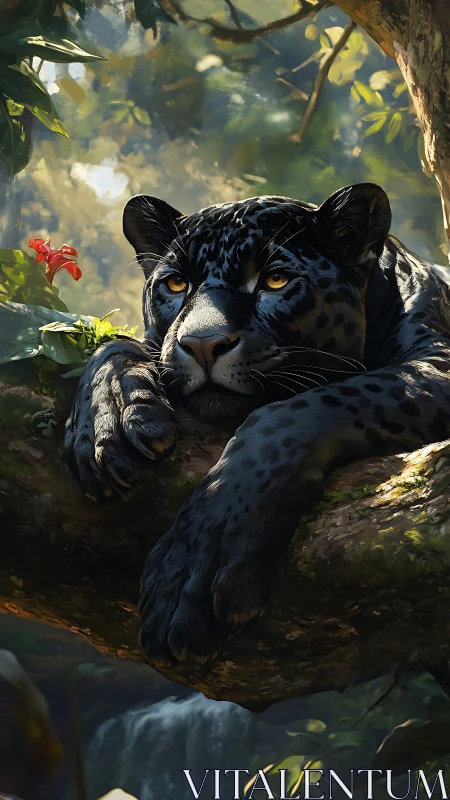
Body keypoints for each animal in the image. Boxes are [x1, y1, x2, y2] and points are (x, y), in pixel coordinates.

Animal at [64, 182, 450, 668]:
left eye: (275, 280)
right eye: (175, 283)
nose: (202, 344)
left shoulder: (434, 366)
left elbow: (287, 413)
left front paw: (190, 572)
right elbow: (115, 342)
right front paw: (105, 429)